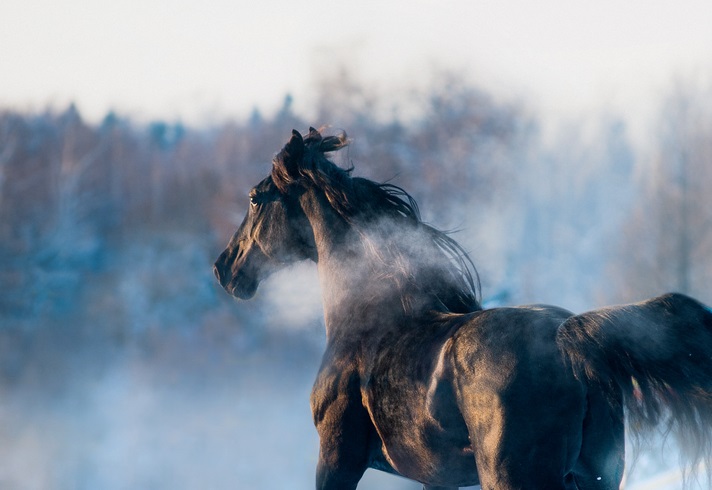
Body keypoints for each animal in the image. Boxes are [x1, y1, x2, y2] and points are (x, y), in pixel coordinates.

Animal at [214, 128, 712, 488]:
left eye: (255, 198)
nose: (225, 268)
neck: (367, 320)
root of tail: (567, 340)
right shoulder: (438, 478)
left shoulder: (337, 457)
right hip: (596, 478)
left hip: (514, 478)